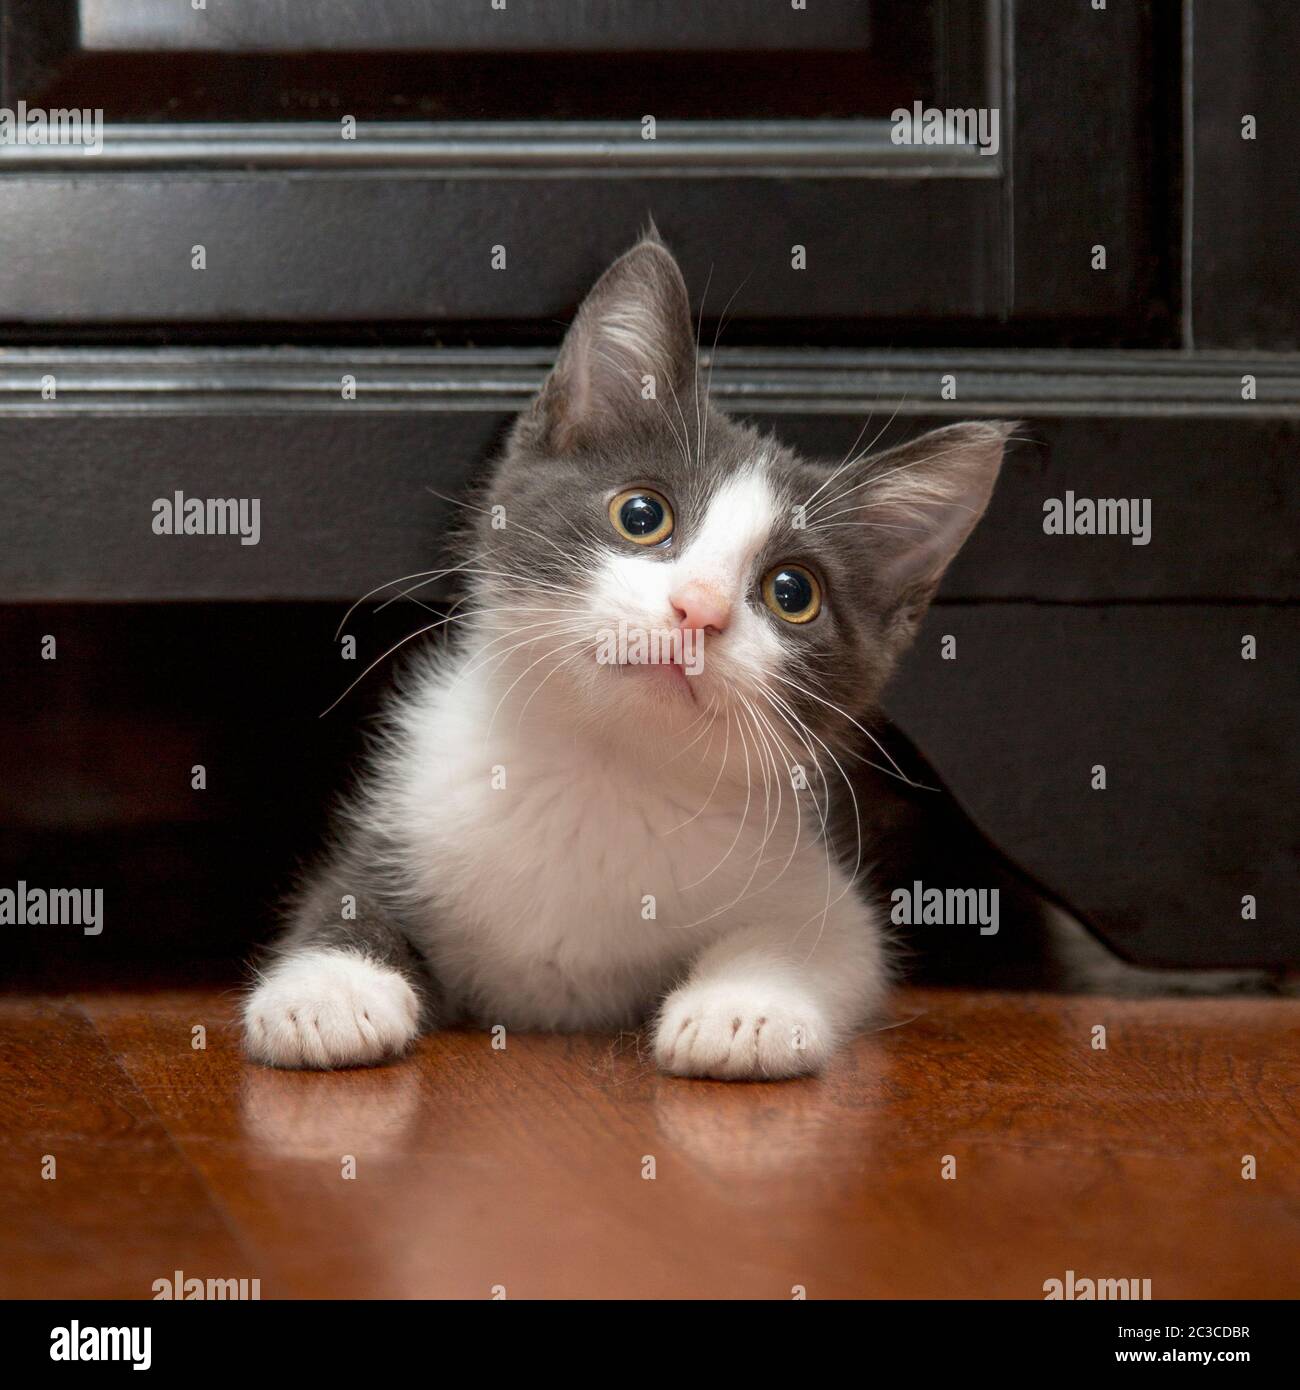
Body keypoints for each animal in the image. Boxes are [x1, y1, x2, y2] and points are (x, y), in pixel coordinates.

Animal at [244, 233, 1017, 1078]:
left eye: (792, 593)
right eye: (642, 515)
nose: (699, 609)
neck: (608, 767)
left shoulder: (814, 873)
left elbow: (826, 937)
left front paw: (743, 1009)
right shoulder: (402, 818)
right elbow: (340, 900)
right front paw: (328, 992)